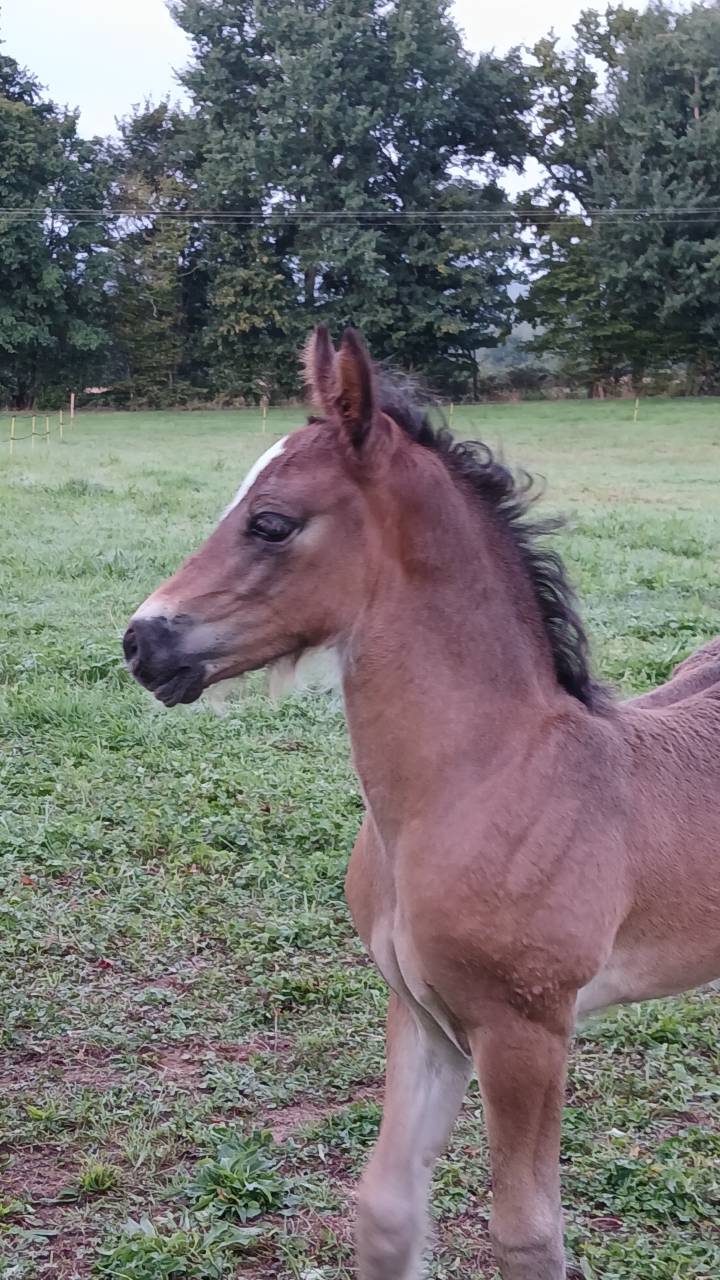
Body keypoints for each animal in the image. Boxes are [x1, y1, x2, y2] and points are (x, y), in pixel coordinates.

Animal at [123, 327, 720, 1280]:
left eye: (271, 521)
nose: (142, 641)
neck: (484, 781)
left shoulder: (526, 1030)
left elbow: (527, 1233)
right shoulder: (422, 1012)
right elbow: (388, 1209)